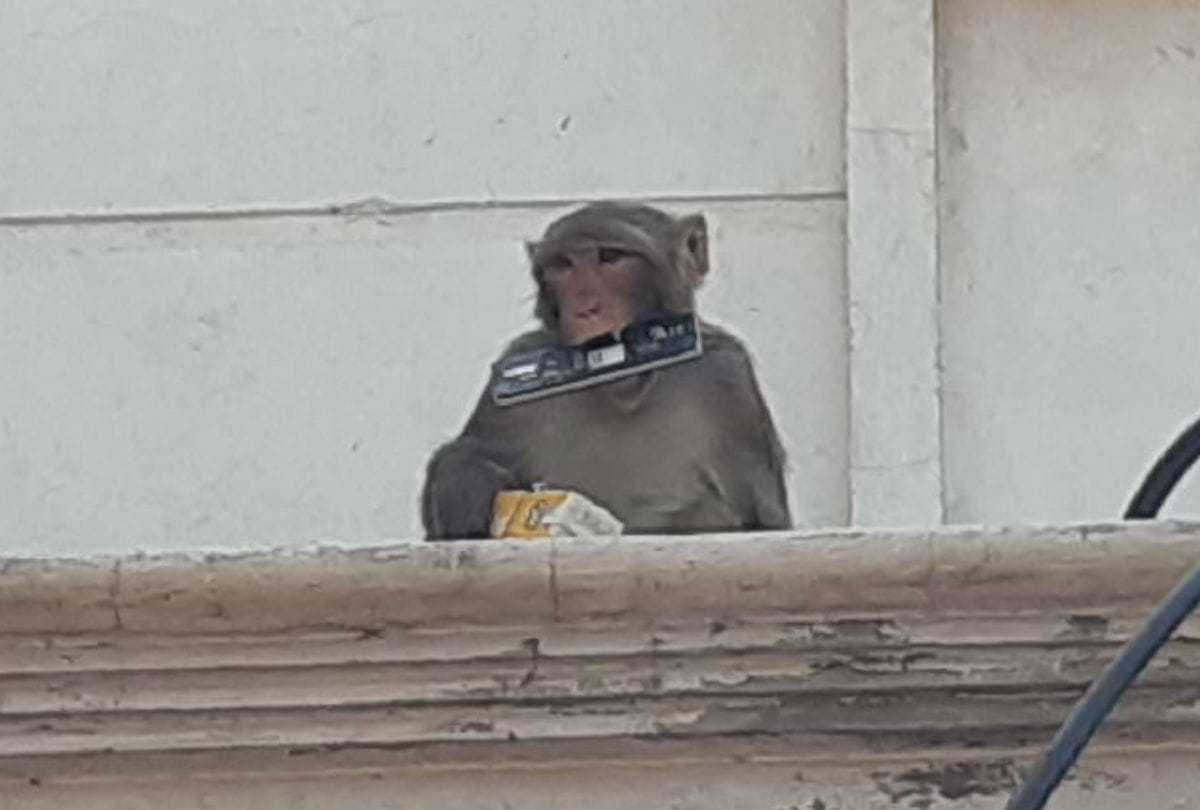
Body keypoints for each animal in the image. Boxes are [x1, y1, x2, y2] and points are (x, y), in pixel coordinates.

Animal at [421, 201, 790, 539]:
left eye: (610, 257)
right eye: (563, 265)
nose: (586, 307)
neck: (623, 384)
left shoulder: (727, 379)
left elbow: (763, 523)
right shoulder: (516, 366)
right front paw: (469, 486)